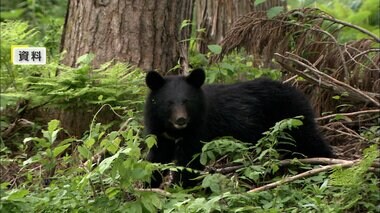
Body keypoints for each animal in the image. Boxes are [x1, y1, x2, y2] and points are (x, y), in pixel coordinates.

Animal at [144, 68, 334, 186]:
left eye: (186, 101)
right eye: (169, 103)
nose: (181, 119)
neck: (176, 131)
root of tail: (299, 92)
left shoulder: (200, 128)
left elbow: (190, 161)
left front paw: (178, 187)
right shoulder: (159, 132)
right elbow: (156, 158)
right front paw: (148, 184)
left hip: (291, 120)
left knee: (311, 141)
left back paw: (325, 165)